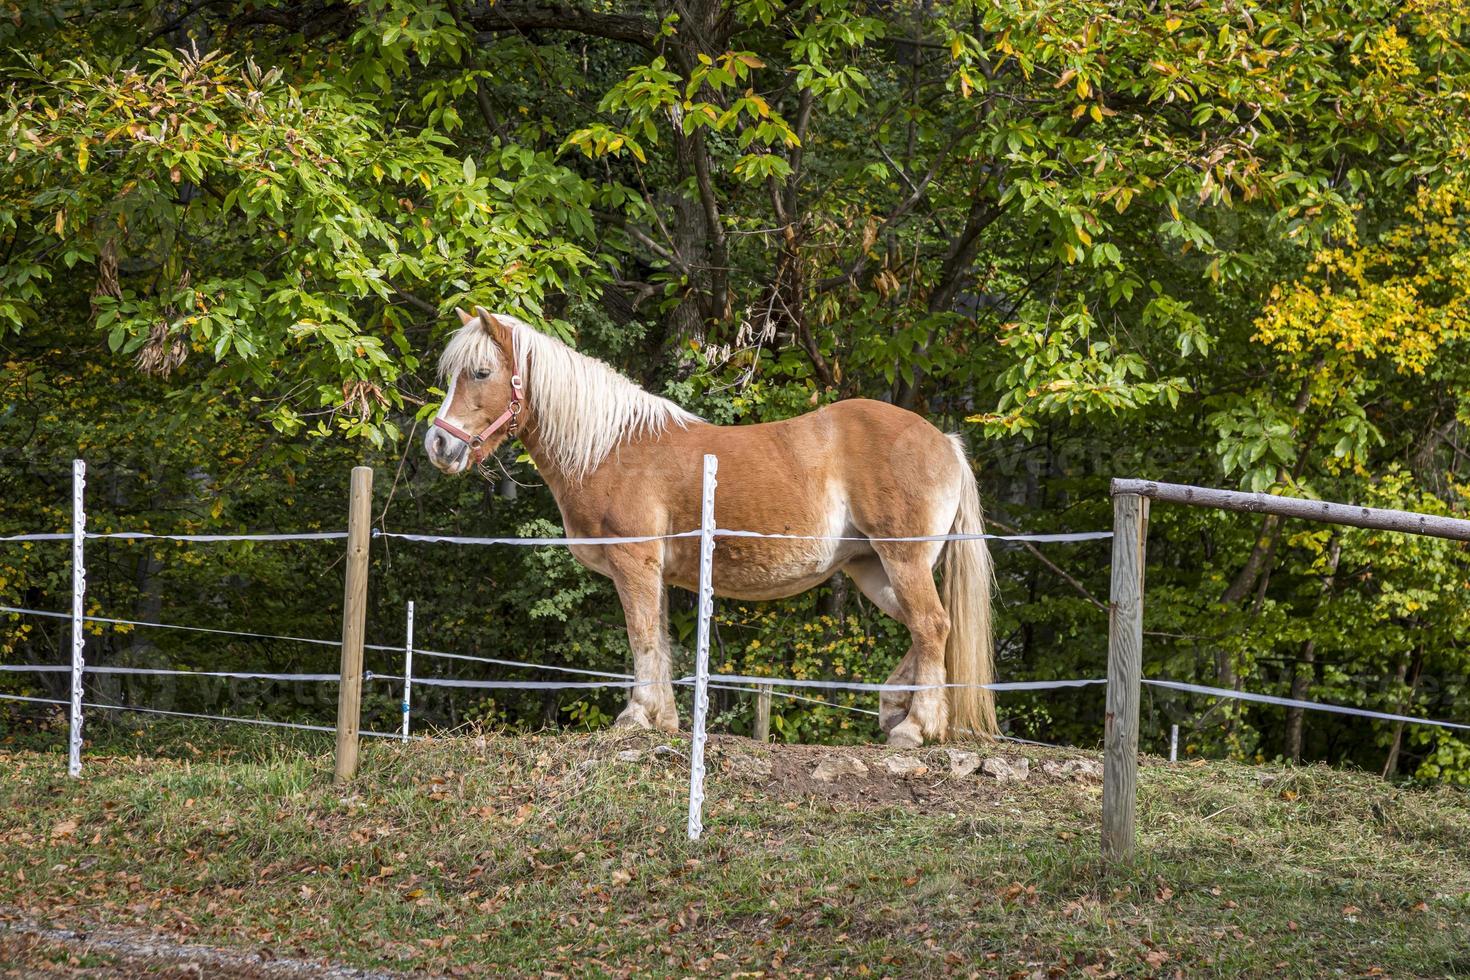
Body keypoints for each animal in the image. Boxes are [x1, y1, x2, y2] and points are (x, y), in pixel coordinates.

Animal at [426, 307, 999, 743]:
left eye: (480, 373)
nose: (439, 445)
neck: (611, 448)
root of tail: (944, 441)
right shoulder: (651, 571)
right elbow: (657, 640)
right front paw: (662, 719)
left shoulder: (634, 562)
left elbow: (641, 637)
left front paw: (635, 717)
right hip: (872, 568)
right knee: (927, 629)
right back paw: (896, 709)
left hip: (902, 559)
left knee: (932, 625)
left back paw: (916, 727)